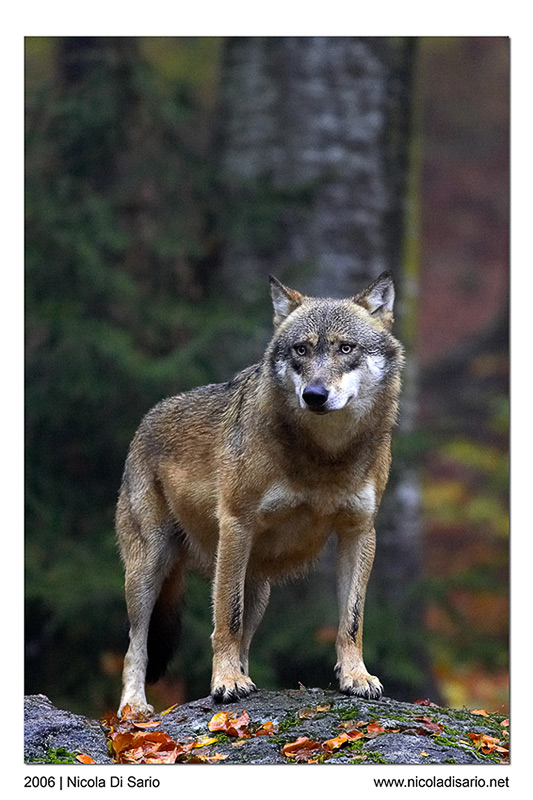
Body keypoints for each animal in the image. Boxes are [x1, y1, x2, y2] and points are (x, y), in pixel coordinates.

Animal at [117, 272, 404, 715]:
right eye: (302, 349)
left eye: (345, 348)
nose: (314, 395)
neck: (326, 455)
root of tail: (146, 420)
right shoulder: (236, 524)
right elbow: (226, 620)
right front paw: (226, 682)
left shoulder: (359, 531)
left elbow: (351, 620)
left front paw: (356, 677)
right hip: (151, 568)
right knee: (137, 645)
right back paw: (134, 709)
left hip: (258, 586)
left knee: (245, 640)